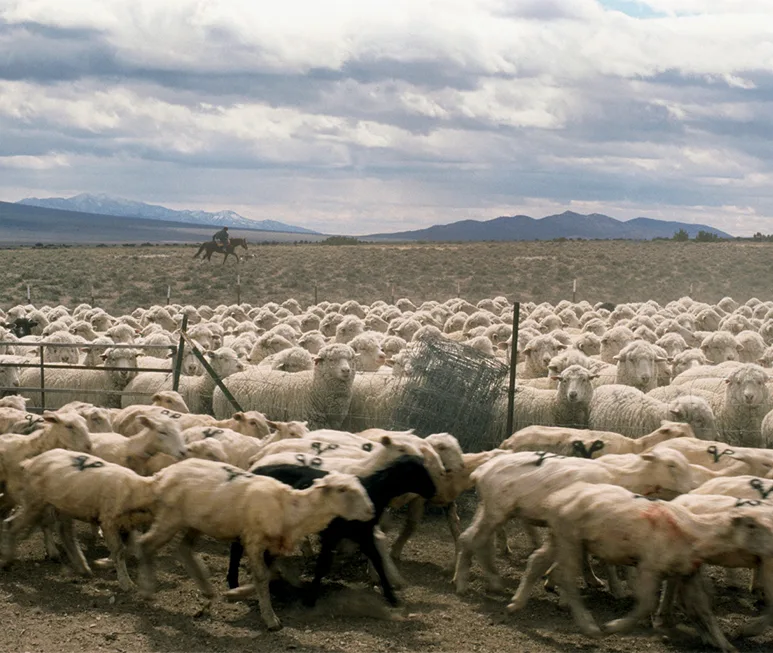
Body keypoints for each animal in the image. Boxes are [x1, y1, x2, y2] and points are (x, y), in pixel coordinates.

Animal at [1, 448, 157, 589]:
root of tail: (30, 462)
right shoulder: (109, 523)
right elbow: (119, 550)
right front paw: (126, 583)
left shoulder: (126, 526)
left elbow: (127, 547)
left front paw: (108, 563)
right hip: (35, 501)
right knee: (12, 524)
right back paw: (7, 560)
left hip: (59, 504)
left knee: (64, 532)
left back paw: (81, 567)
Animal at [134, 459, 374, 631]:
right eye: (342, 489)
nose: (370, 510)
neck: (290, 508)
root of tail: (161, 475)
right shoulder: (254, 539)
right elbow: (261, 577)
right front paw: (271, 619)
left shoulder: (273, 546)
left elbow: (271, 575)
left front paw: (236, 593)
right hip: (170, 517)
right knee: (145, 544)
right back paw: (147, 590)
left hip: (196, 521)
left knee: (183, 549)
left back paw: (208, 591)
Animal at [227, 455, 436, 606]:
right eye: (416, 473)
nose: (433, 491)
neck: (373, 490)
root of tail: (254, 470)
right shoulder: (331, 534)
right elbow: (322, 565)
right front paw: (311, 598)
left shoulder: (363, 534)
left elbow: (377, 560)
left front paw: (391, 596)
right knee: (236, 548)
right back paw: (233, 582)